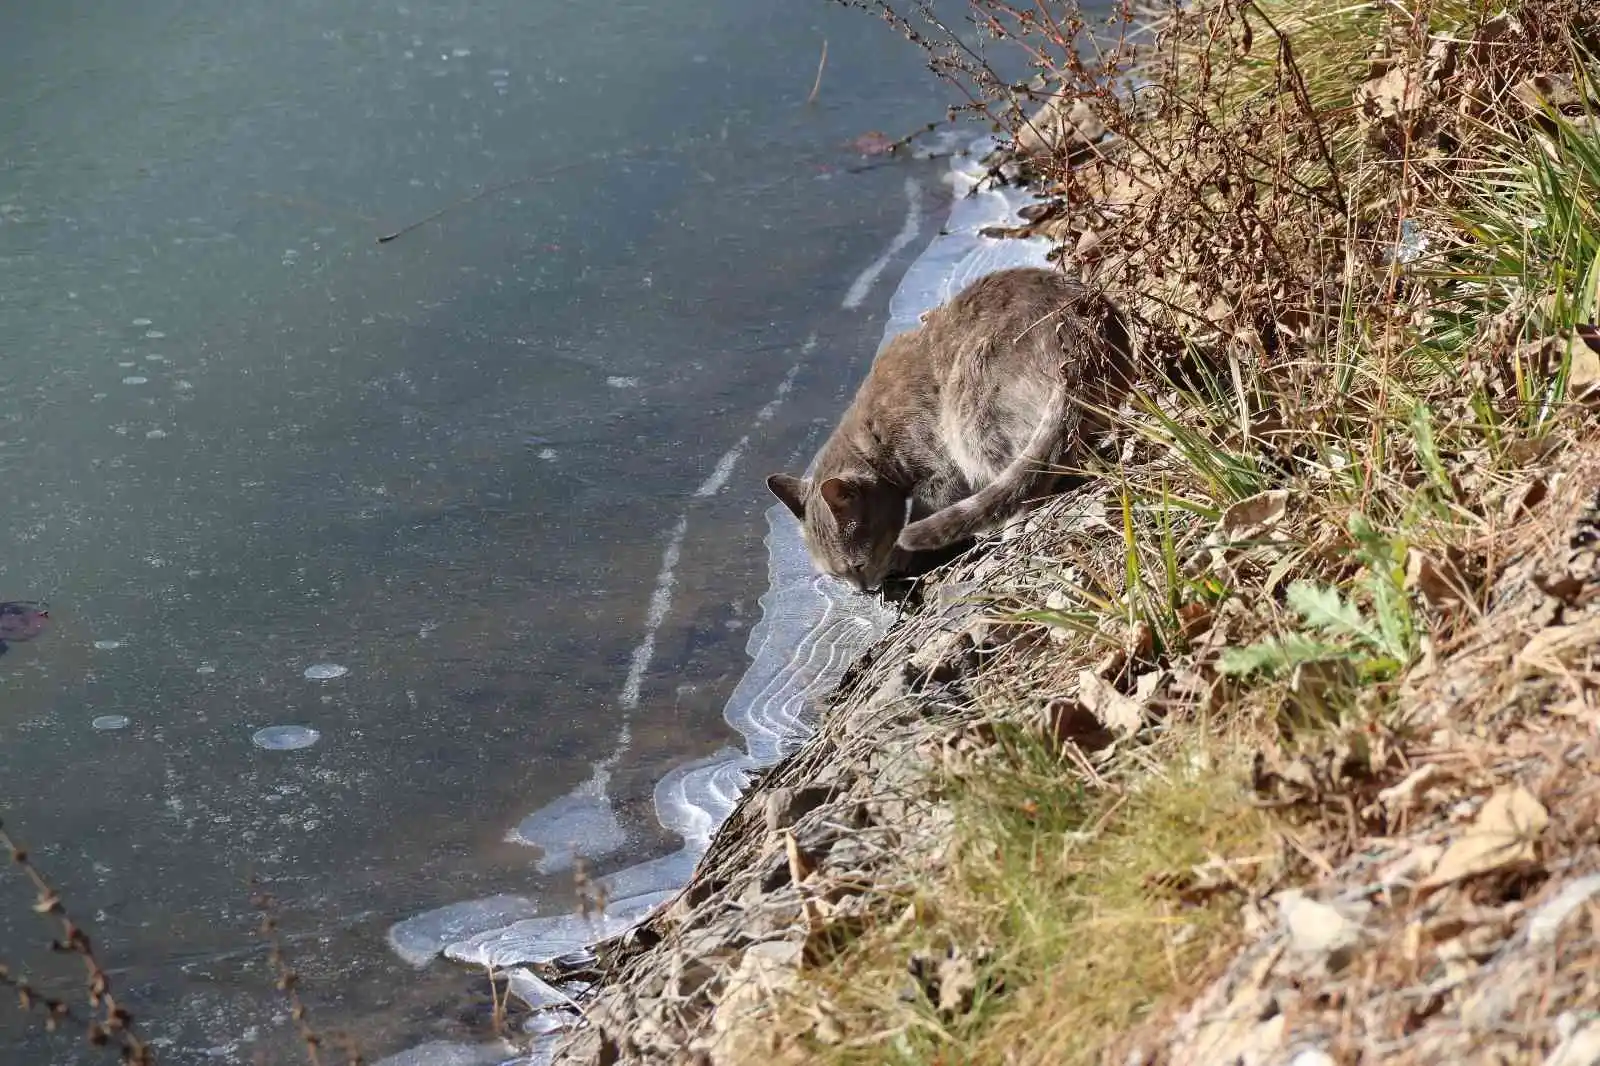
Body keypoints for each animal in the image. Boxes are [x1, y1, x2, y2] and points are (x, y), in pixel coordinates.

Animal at [764, 265, 1132, 589]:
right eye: (837, 577)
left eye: (857, 566)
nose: (862, 590)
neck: (871, 439)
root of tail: (1075, 334)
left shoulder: (940, 469)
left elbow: (925, 507)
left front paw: (900, 554)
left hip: (968, 410)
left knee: (1023, 483)